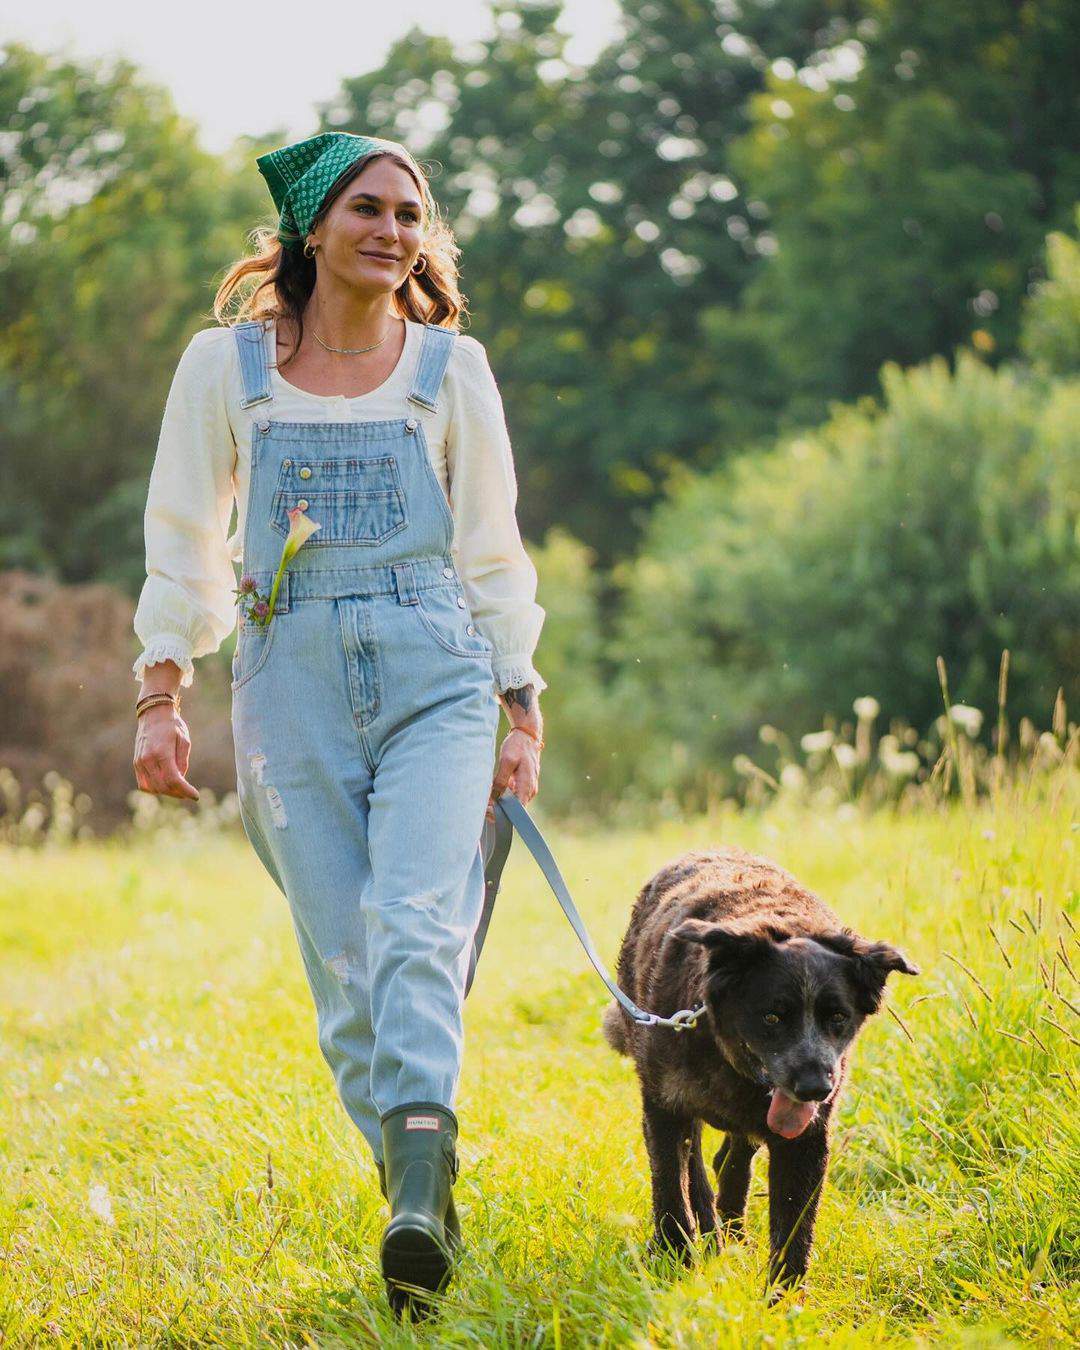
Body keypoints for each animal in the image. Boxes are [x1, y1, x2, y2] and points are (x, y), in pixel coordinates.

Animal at [602, 847, 918, 1290]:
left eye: (838, 1017)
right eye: (772, 1017)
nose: (815, 1087)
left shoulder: (806, 1139)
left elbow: (793, 1230)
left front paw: (783, 1300)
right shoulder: (663, 1107)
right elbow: (670, 1189)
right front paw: (673, 1257)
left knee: (730, 1165)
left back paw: (731, 1234)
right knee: (696, 1169)